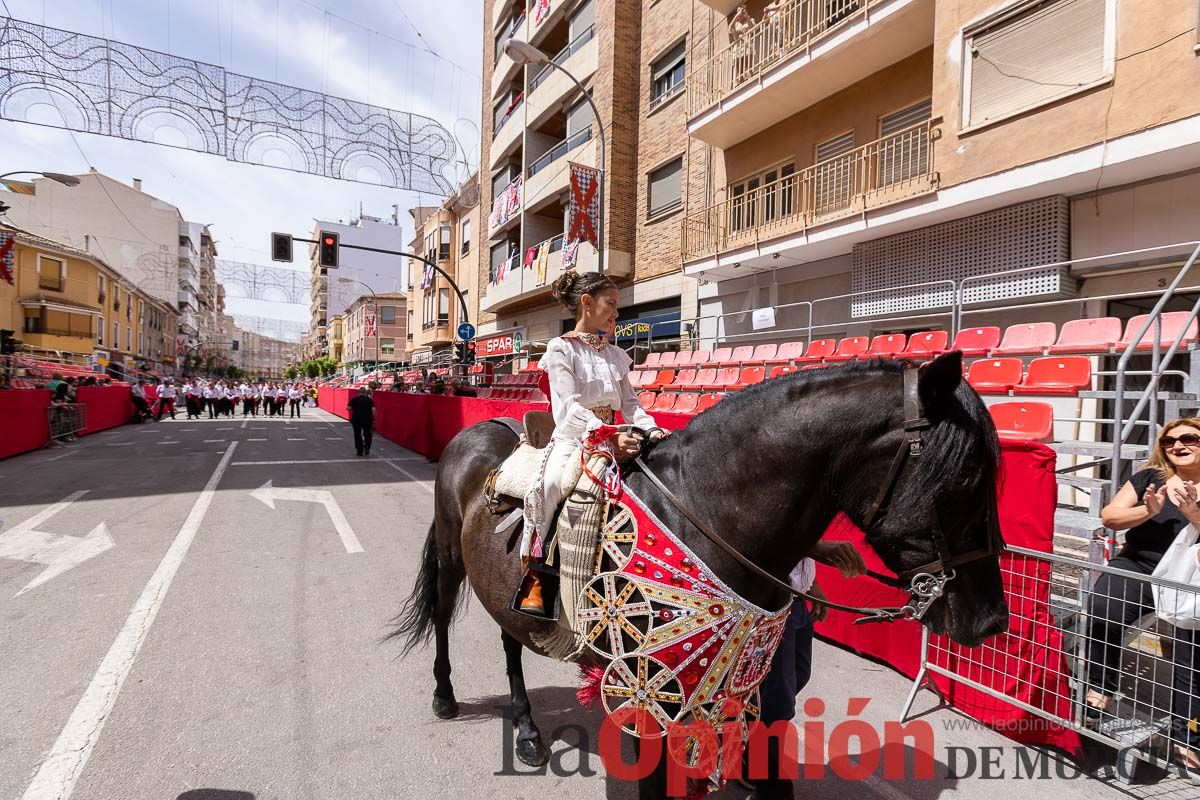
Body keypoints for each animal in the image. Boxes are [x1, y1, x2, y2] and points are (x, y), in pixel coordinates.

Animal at [391, 355, 1003, 800]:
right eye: (967, 478)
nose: (990, 621)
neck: (701, 510)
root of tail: (480, 428)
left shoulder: (725, 680)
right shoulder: (645, 688)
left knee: (510, 639)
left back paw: (525, 730)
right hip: (450, 557)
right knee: (443, 617)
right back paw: (446, 697)